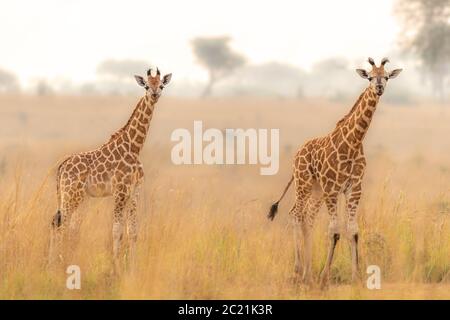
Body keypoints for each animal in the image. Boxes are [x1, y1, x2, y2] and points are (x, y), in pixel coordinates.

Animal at [48, 68, 172, 272]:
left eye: (161, 85)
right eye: (146, 86)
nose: (154, 95)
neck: (134, 147)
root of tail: (61, 166)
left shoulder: (135, 190)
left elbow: (133, 231)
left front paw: (132, 268)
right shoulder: (120, 191)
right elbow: (116, 231)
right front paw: (115, 268)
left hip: (74, 196)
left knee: (63, 225)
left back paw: (61, 261)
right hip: (71, 194)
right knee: (61, 225)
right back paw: (56, 264)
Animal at [268, 57, 402, 288]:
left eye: (385, 76)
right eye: (369, 77)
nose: (379, 88)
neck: (354, 143)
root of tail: (297, 153)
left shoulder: (353, 189)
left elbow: (353, 230)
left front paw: (356, 277)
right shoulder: (332, 188)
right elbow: (335, 231)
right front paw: (325, 278)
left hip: (316, 190)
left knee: (308, 218)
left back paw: (308, 274)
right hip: (303, 183)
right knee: (295, 214)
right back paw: (298, 272)